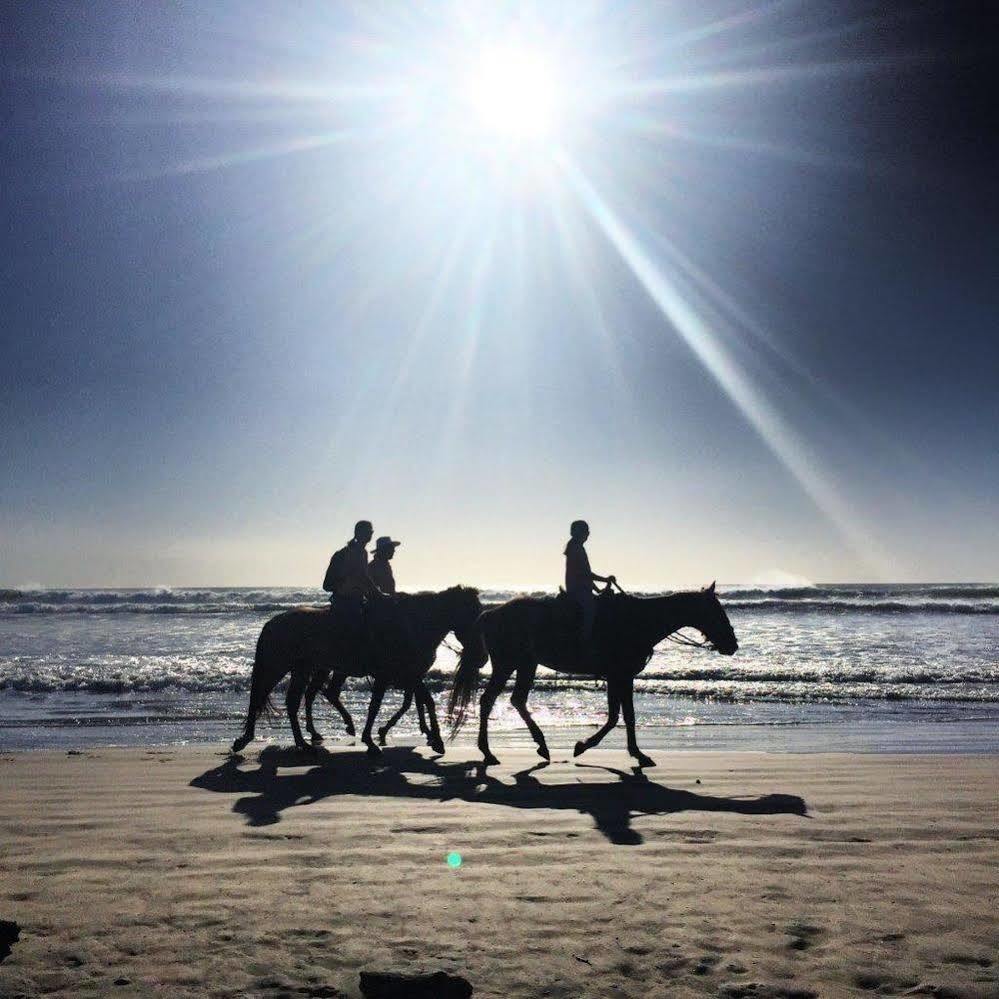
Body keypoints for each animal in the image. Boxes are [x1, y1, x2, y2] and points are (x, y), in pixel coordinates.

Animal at [232, 584, 486, 756]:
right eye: (472, 614)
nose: (483, 658)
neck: (412, 625)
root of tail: (271, 624)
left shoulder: (409, 675)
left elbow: (420, 701)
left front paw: (433, 738)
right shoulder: (396, 675)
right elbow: (385, 705)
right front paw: (375, 739)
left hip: (304, 670)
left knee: (299, 700)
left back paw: (306, 740)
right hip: (279, 667)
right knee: (264, 697)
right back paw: (250, 740)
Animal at [450, 584, 740, 768]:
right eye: (716, 612)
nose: (732, 644)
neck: (639, 620)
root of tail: (490, 613)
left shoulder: (621, 677)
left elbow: (623, 716)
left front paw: (631, 752)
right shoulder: (619, 675)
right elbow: (618, 717)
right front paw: (588, 746)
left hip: (526, 664)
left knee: (516, 700)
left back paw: (539, 745)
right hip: (507, 664)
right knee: (489, 700)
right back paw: (489, 752)